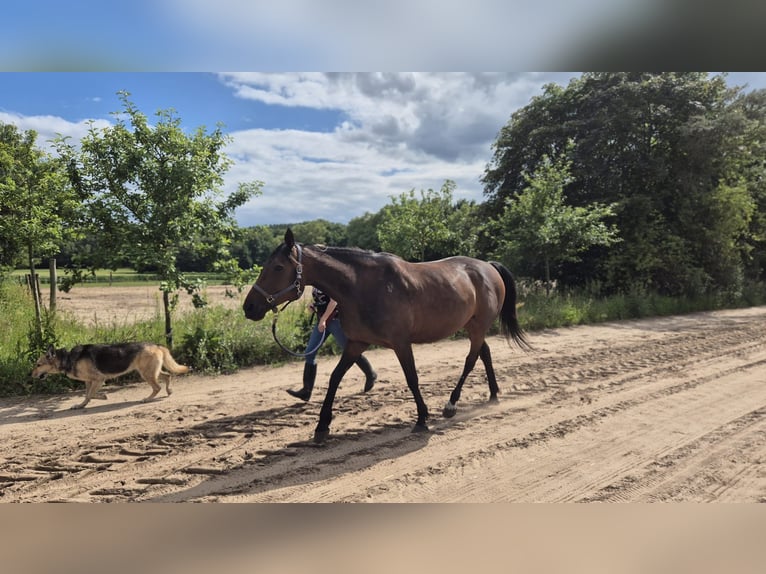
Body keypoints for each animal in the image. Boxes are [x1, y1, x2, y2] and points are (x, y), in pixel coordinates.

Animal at [243, 228, 531, 443]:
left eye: (278, 267)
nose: (249, 307)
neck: (362, 287)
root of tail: (488, 267)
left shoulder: (401, 344)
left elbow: (412, 378)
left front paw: (422, 419)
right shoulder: (356, 343)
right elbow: (335, 378)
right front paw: (322, 426)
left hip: (478, 326)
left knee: (471, 360)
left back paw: (451, 405)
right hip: (473, 327)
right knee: (485, 354)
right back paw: (493, 395)